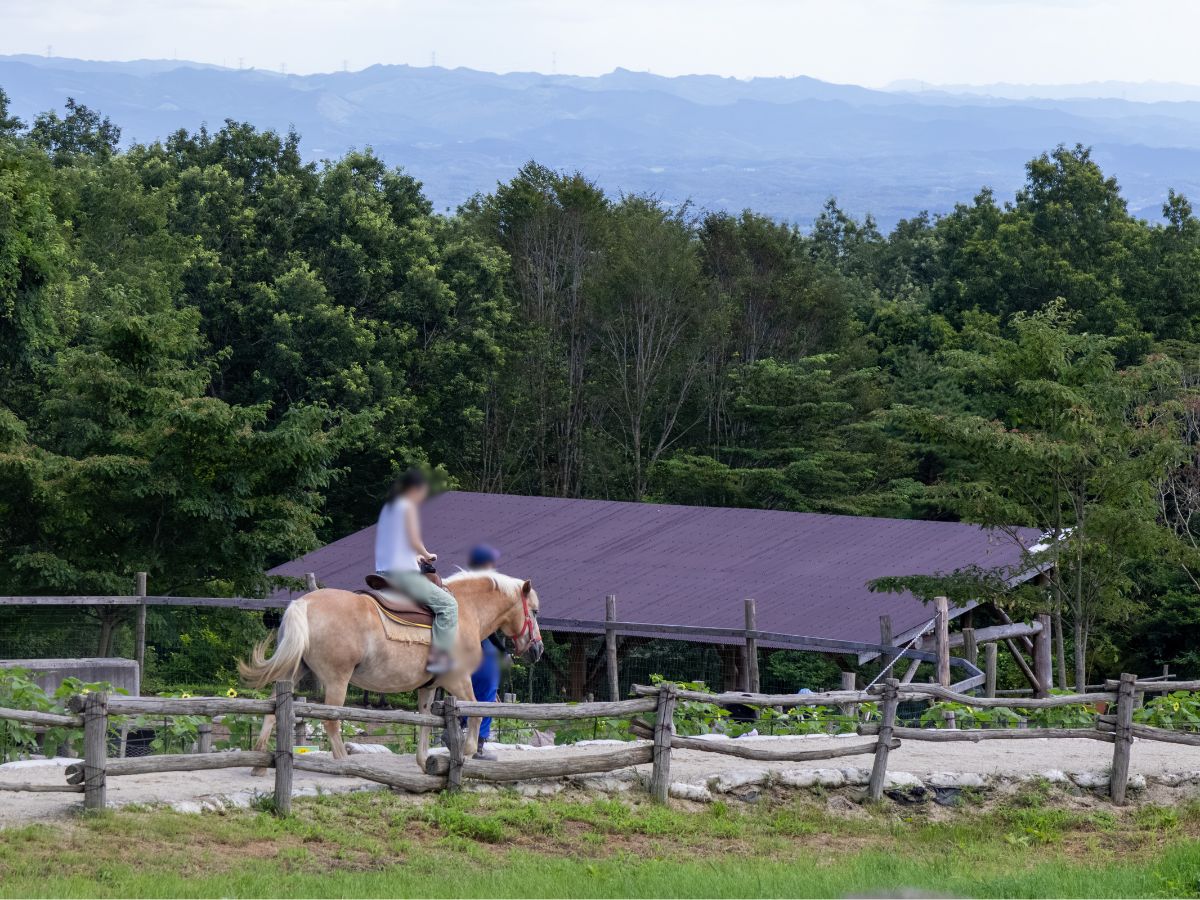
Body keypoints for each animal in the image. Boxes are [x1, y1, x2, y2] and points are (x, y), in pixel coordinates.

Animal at [238, 571, 543, 772]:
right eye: (535, 612)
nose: (538, 649)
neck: (465, 610)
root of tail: (304, 603)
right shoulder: (458, 681)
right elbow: (475, 711)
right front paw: (466, 751)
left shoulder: (429, 687)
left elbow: (425, 720)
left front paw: (423, 760)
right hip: (337, 680)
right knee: (331, 722)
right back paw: (345, 763)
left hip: (293, 672)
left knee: (274, 710)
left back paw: (260, 763)